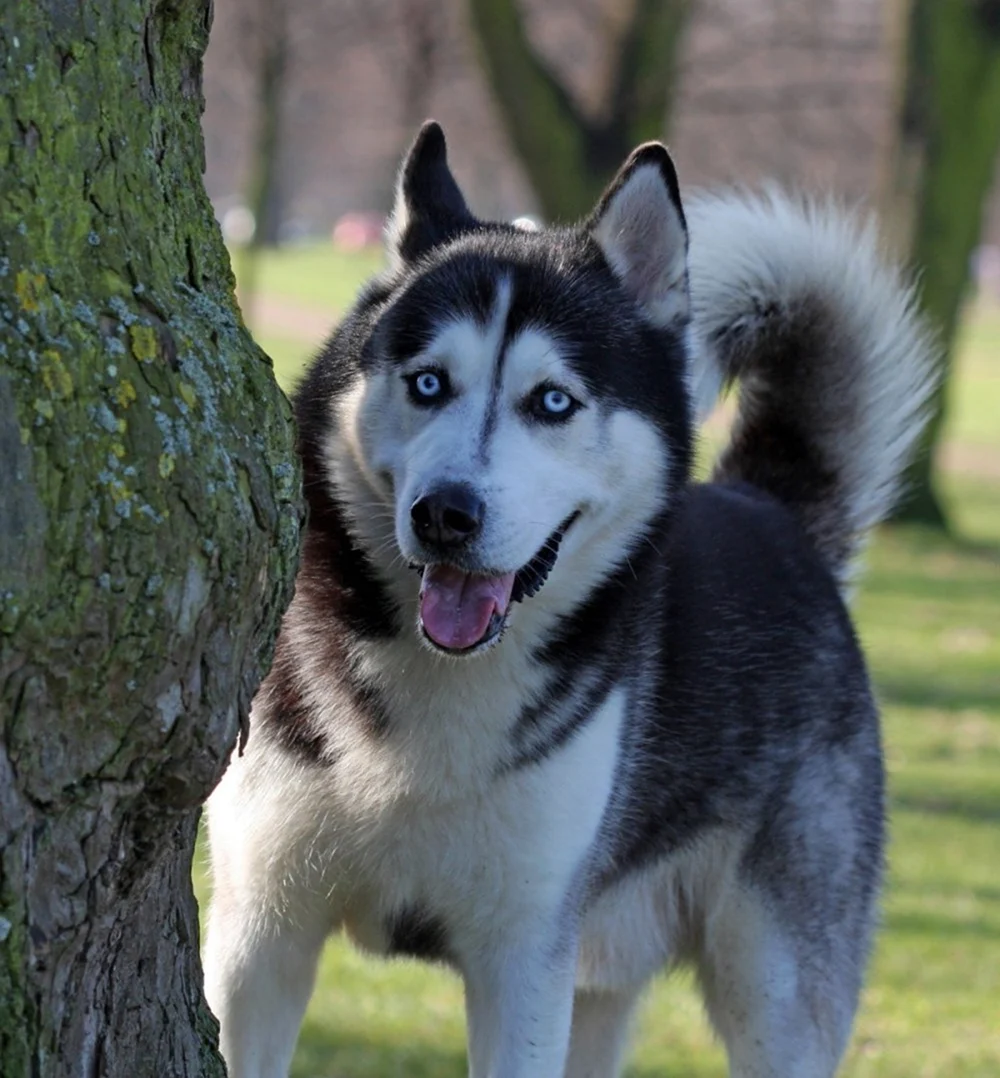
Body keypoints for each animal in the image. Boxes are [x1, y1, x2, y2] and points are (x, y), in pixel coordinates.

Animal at [202, 122, 939, 1073]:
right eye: (428, 382)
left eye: (552, 401)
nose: (445, 514)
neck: (440, 694)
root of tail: (769, 510)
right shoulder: (262, 933)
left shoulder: (523, 961)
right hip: (603, 966)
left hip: (774, 992)